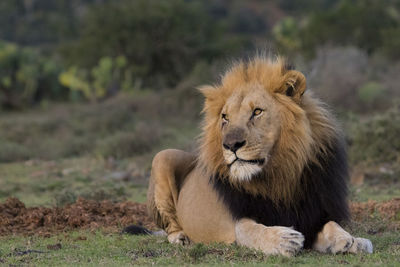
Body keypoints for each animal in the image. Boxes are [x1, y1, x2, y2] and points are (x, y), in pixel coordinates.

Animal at [143, 56, 372, 258]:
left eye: (257, 112)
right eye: (225, 117)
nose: (231, 145)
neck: (281, 174)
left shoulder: (313, 213)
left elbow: (332, 224)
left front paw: (353, 240)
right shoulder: (235, 220)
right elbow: (250, 230)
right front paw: (284, 239)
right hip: (162, 156)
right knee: (170, 226)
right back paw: (180, 237)